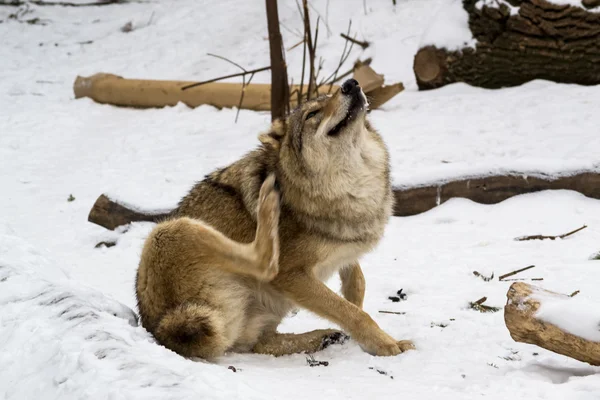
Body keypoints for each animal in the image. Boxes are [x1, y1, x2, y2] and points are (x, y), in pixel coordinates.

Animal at [137, 78, 414, 360]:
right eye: (312, 114)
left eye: (331, 93)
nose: (351, 83)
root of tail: (163, 331)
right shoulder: (292, 276)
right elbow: (352, 312)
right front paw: (386, 345)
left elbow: (357, 282)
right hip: (168, 231)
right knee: (263, 264)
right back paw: (268, 202)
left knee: (262, 343)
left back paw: (324, 337)